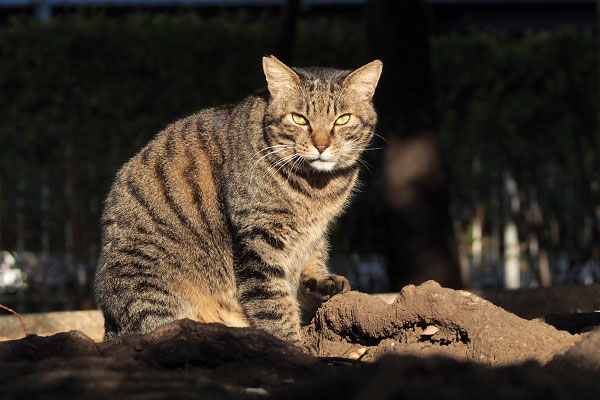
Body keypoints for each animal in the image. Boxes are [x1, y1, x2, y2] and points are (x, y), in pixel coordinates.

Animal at [94, 55, 384, 344]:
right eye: (299, 119)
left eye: (343, 119)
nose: (321, 146)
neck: (318, 189)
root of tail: (110, 327)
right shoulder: (258, 239)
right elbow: (273, 306)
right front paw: (291, 347)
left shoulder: (315, 231)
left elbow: (314, 254)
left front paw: (321, 279)